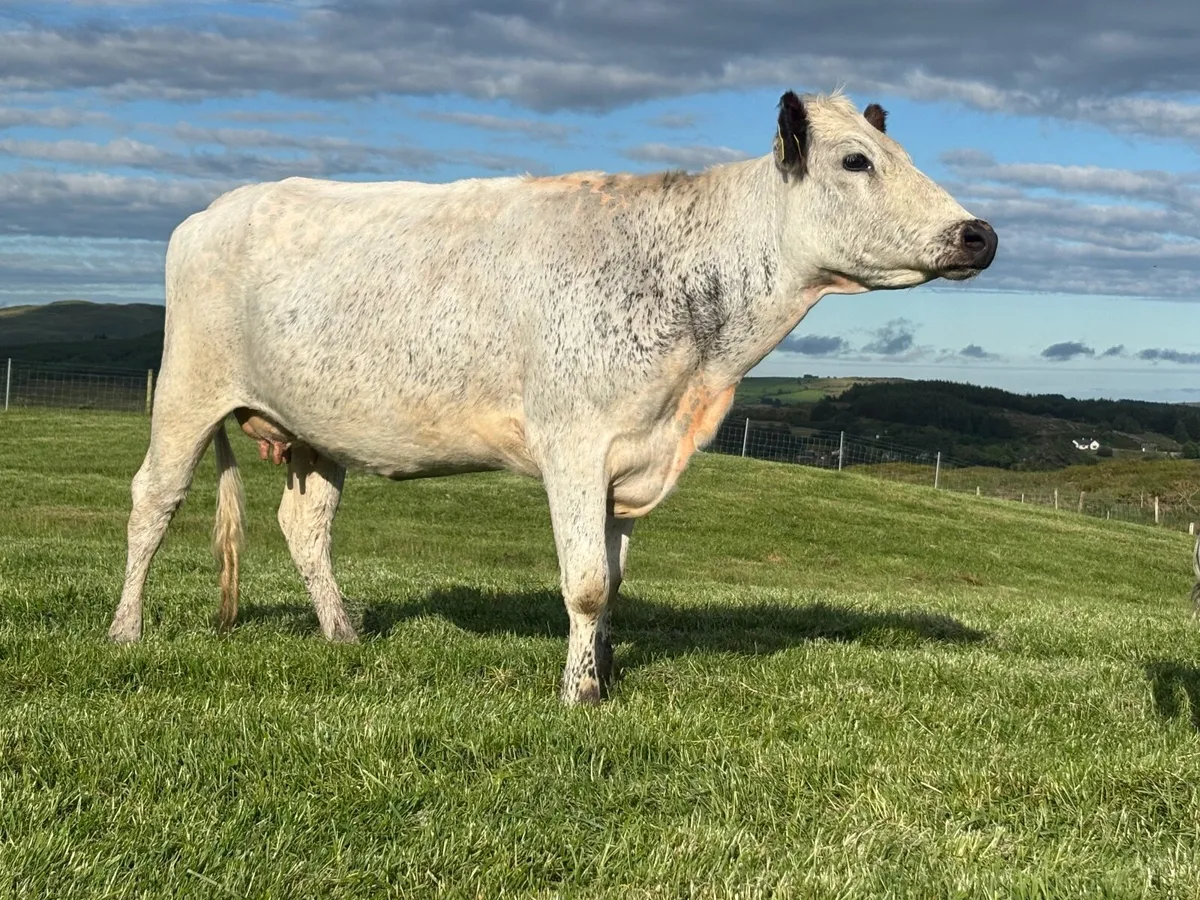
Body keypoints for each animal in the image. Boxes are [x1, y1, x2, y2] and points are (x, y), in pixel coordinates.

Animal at [107, 90, 998, 704]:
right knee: (153, 501)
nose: (978, 233)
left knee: (304, 526)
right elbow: (587, 582)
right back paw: (125, 631)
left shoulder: (632, 455)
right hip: (188, 390)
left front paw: (604, 674)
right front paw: (577, 694)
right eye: (856, 161)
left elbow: (614, 582)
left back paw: (345, 634)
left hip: (318, 430)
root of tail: (217, 207)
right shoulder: (575, 442)